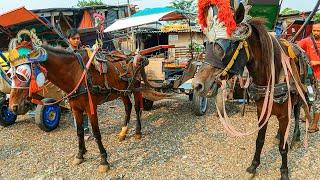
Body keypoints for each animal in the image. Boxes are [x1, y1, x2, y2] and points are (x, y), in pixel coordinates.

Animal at [8, 44, 149, 172]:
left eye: (22, 75)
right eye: (10, 75)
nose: (13, 106)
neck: (75, 74)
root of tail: (132, 55)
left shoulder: (91, 109)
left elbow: (97, 134)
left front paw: (103, 160)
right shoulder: (76, 109)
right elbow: (79, 132)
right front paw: (80, 155)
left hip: (135, 86)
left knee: (137, 108)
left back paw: (137, 132)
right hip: (121, 91)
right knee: (128, 107)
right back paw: (123, 133)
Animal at [192, 2, 310, 180]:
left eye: (225, 47)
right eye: (207, 45)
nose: (197, 84)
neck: (270, 75)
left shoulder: (283, 113)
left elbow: (283, 147)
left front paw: (284, 171)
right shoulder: (262, 111)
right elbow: (259, 140)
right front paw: (253, 166)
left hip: (299, 93)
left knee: (297, 112)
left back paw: (296, 137)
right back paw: (277, 134)